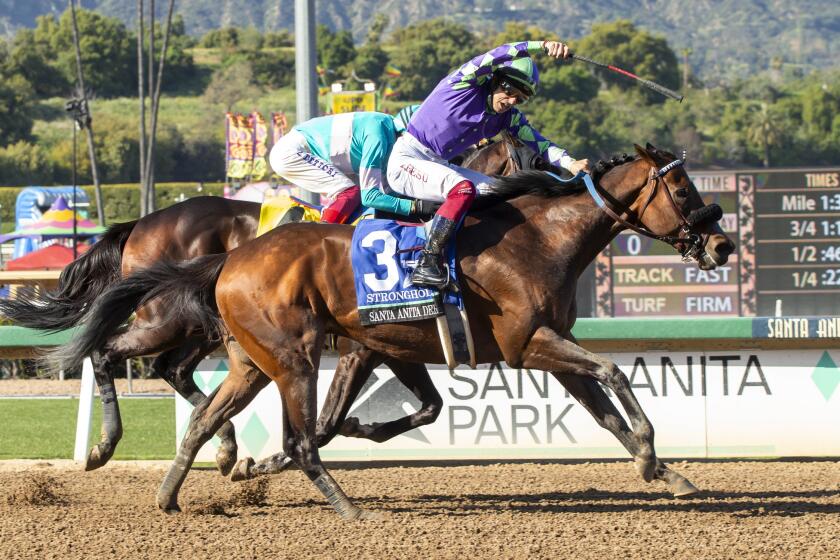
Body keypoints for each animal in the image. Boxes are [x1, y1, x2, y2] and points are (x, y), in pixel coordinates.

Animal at [0, 136, 532, 472]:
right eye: (532, 153)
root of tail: (141, 223)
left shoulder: (392, 342)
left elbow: (428, 407)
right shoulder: (364, 346)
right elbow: (335, 417)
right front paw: (293, 451)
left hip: (205, 327)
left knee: (174, 370)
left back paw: (225, 445)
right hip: (171, 319)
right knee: (110, 353)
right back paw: (106, 446)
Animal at [52, 143, 736, 516]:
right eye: (681, 188)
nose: (723, 244)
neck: (539, 238)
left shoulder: (457, 346)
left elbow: (600, 411)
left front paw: (664, 471)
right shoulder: (526, 346)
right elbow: (614, 372)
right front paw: (651, 449)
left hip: (247, 355)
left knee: (196, 401)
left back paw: (196, 475)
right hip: (227, 337)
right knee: (118, 355)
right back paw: (109, 446)